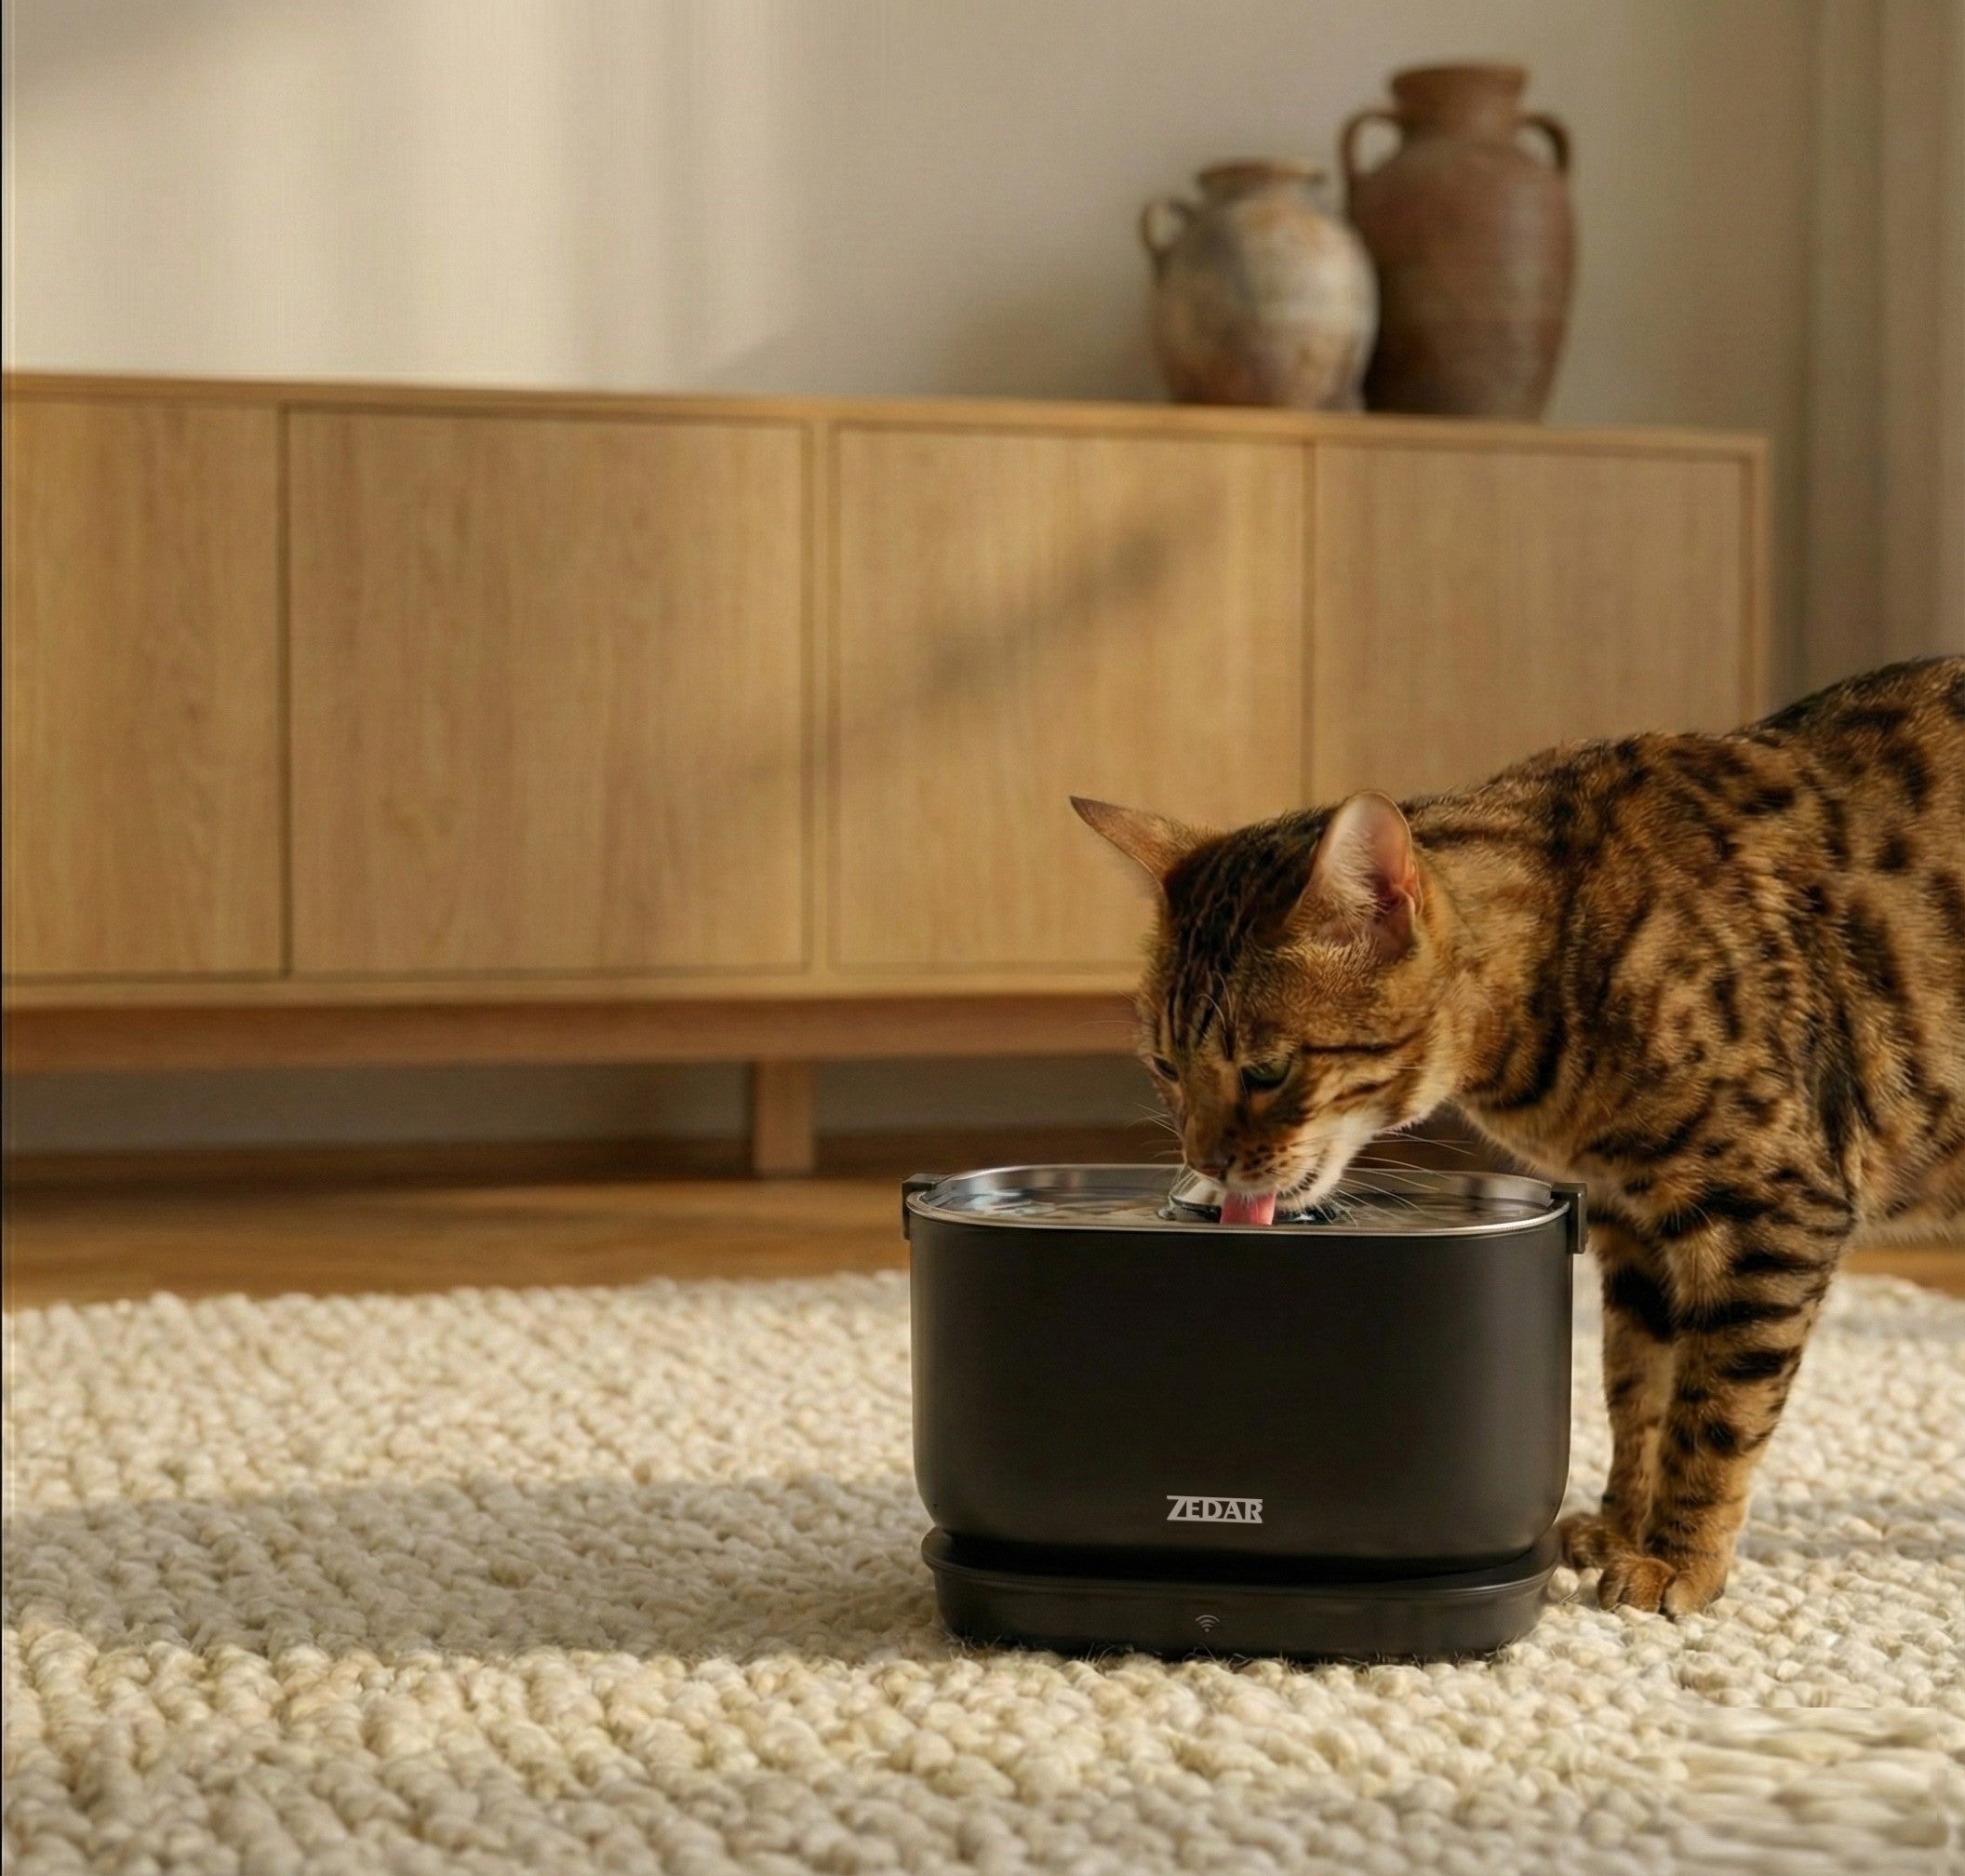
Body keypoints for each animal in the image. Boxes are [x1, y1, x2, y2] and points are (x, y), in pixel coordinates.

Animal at [1075, 655, 1965, 1615]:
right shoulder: (1632, 1224)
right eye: (1165, 1066)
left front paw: (1678, 1560)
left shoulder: (1771, 1210)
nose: (1202, 1161)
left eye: (1268, 1069)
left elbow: (1716, 1413)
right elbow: (1636, 1389)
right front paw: (1620, 1526)